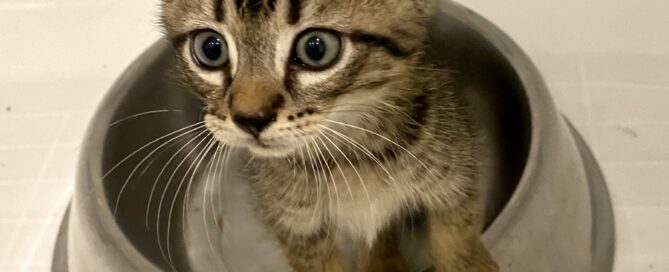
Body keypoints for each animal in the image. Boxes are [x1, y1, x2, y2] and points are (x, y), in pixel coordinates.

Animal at [160, 0, 496, 272]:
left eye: (316, 48)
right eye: (210, 48)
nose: (250, 118)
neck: (351, 155)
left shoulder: (455, 181)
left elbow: (459, 238)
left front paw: (471, 262)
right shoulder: (297, 226)